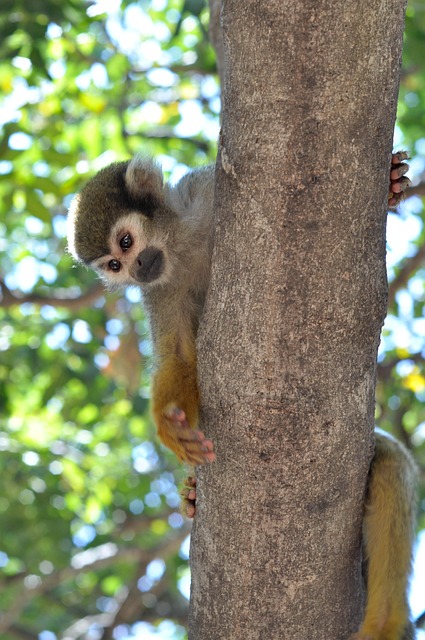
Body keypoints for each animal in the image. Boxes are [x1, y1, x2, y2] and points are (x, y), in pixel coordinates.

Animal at [66, 151, 414, 640]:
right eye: (114, 265)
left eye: (127, 242)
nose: (137, 269)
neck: (178, 244)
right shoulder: (160, 289)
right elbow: (180, 357)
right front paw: (170, 425)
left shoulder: (208, 193)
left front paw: (391, 185)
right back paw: (193, 496)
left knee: (388, 460)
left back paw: (384, 622)